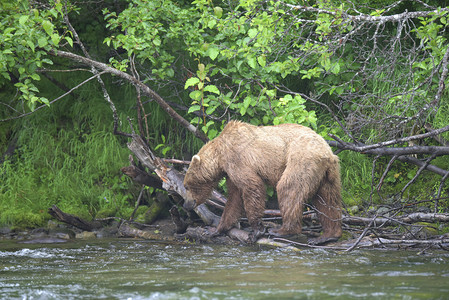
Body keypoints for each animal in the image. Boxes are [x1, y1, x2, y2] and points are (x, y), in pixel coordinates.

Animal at [182, 119, 340, 244]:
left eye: (186, 186)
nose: (186, 204)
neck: (219, 156)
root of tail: (327, 153)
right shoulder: (230, 173)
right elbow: (234, 199)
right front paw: (215, 229)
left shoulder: (236, 158)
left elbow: (252, 186)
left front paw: (257, 230)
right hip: (327, 175)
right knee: (328, 201)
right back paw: (328, 235)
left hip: (302, 159)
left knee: (288, 188)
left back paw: (283, 230)